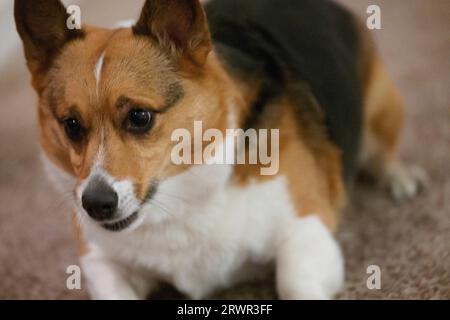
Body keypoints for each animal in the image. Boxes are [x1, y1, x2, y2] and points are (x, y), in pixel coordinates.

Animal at [14, 0, 428, 300]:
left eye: (139, 117)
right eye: (71, 125)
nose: (96, 204)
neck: (181, 199)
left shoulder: (306, 231)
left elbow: (294, 282)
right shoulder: (98, 261)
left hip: (382, 105)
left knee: (382, 149)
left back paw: (400, 176)